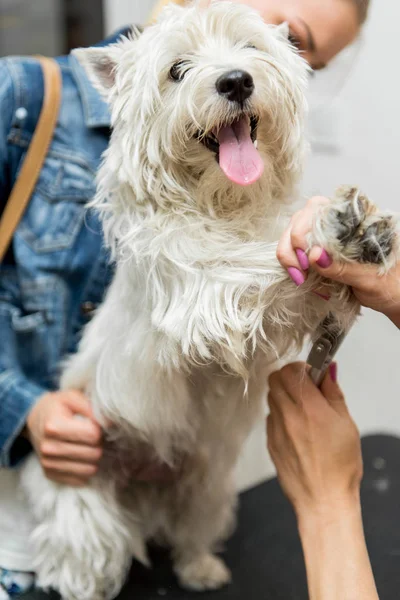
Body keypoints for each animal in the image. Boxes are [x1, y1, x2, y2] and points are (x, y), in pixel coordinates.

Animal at [21, 1, 396, 600]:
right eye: (177, 70)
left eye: (251, 50)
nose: (236, 81)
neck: (223, 205)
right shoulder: (201, 292)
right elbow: (255, 269)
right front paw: (333, 233)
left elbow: (308, 296)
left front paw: (360, 245)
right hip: (80, 486)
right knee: (84, 550)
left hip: (207, 481)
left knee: (190, 530)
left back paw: (201, 570)